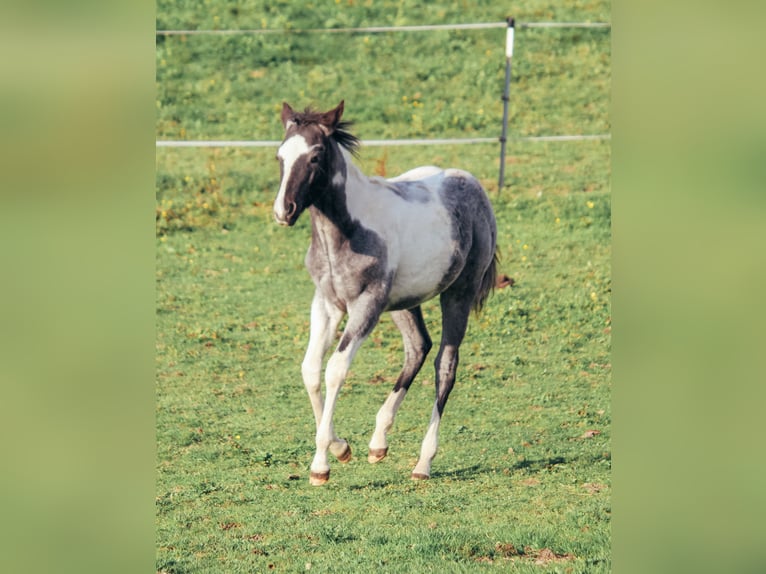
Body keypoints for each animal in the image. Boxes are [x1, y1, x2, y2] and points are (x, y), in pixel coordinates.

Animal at [273, 100, 498, 485]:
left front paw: (321, 465)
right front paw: (341, 448)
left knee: (445, 364)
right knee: (418, 347)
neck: (346, 232)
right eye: (280, 156)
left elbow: (335, 369)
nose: (283, 211)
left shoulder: (367, 305)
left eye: (315, 156)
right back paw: (378, 442)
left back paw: (423, 463)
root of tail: (472, 183)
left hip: (458, 294)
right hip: (404, 302)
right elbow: (310, 369)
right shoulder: (327, 304)